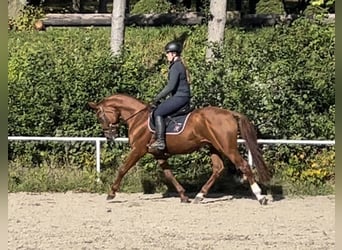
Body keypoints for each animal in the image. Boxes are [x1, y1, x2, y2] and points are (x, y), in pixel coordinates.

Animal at [89, 93, 272, 204]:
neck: (138, 118)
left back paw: (260, 196)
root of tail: (229, 113)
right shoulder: (158, 154)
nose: (109, 136)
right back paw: (199, 196)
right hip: (214, 147)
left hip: (227, 147)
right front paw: (183, 196)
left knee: (243, 165)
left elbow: (122, 169)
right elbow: (169, 174)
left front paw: (111, 193)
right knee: (218, 168)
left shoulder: (138, 150)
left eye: (100, 116)